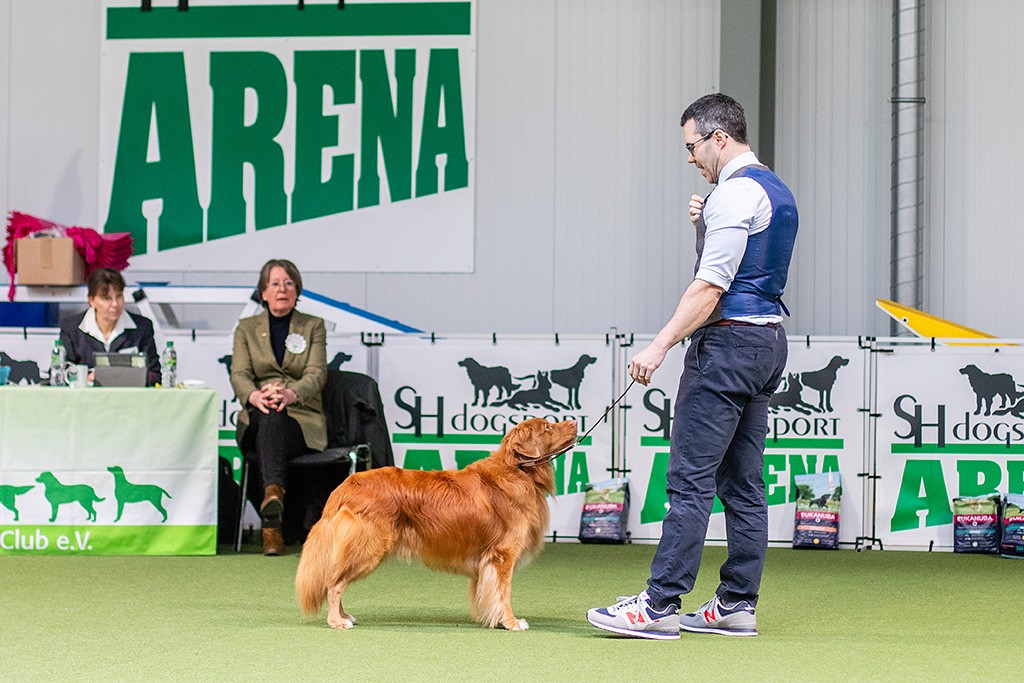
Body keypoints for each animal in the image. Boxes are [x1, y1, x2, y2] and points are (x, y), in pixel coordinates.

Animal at [294, 419, 577, 634]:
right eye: (548, 427)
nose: (575, 421)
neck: (519, 470)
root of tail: (346, 485)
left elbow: (488, 594)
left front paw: (494, 619)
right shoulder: (502, 556)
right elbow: (502, 593)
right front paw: (511, 622)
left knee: (335, 581)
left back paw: (345, 616)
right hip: (368, 548)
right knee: (334, 584)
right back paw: (336, 621)